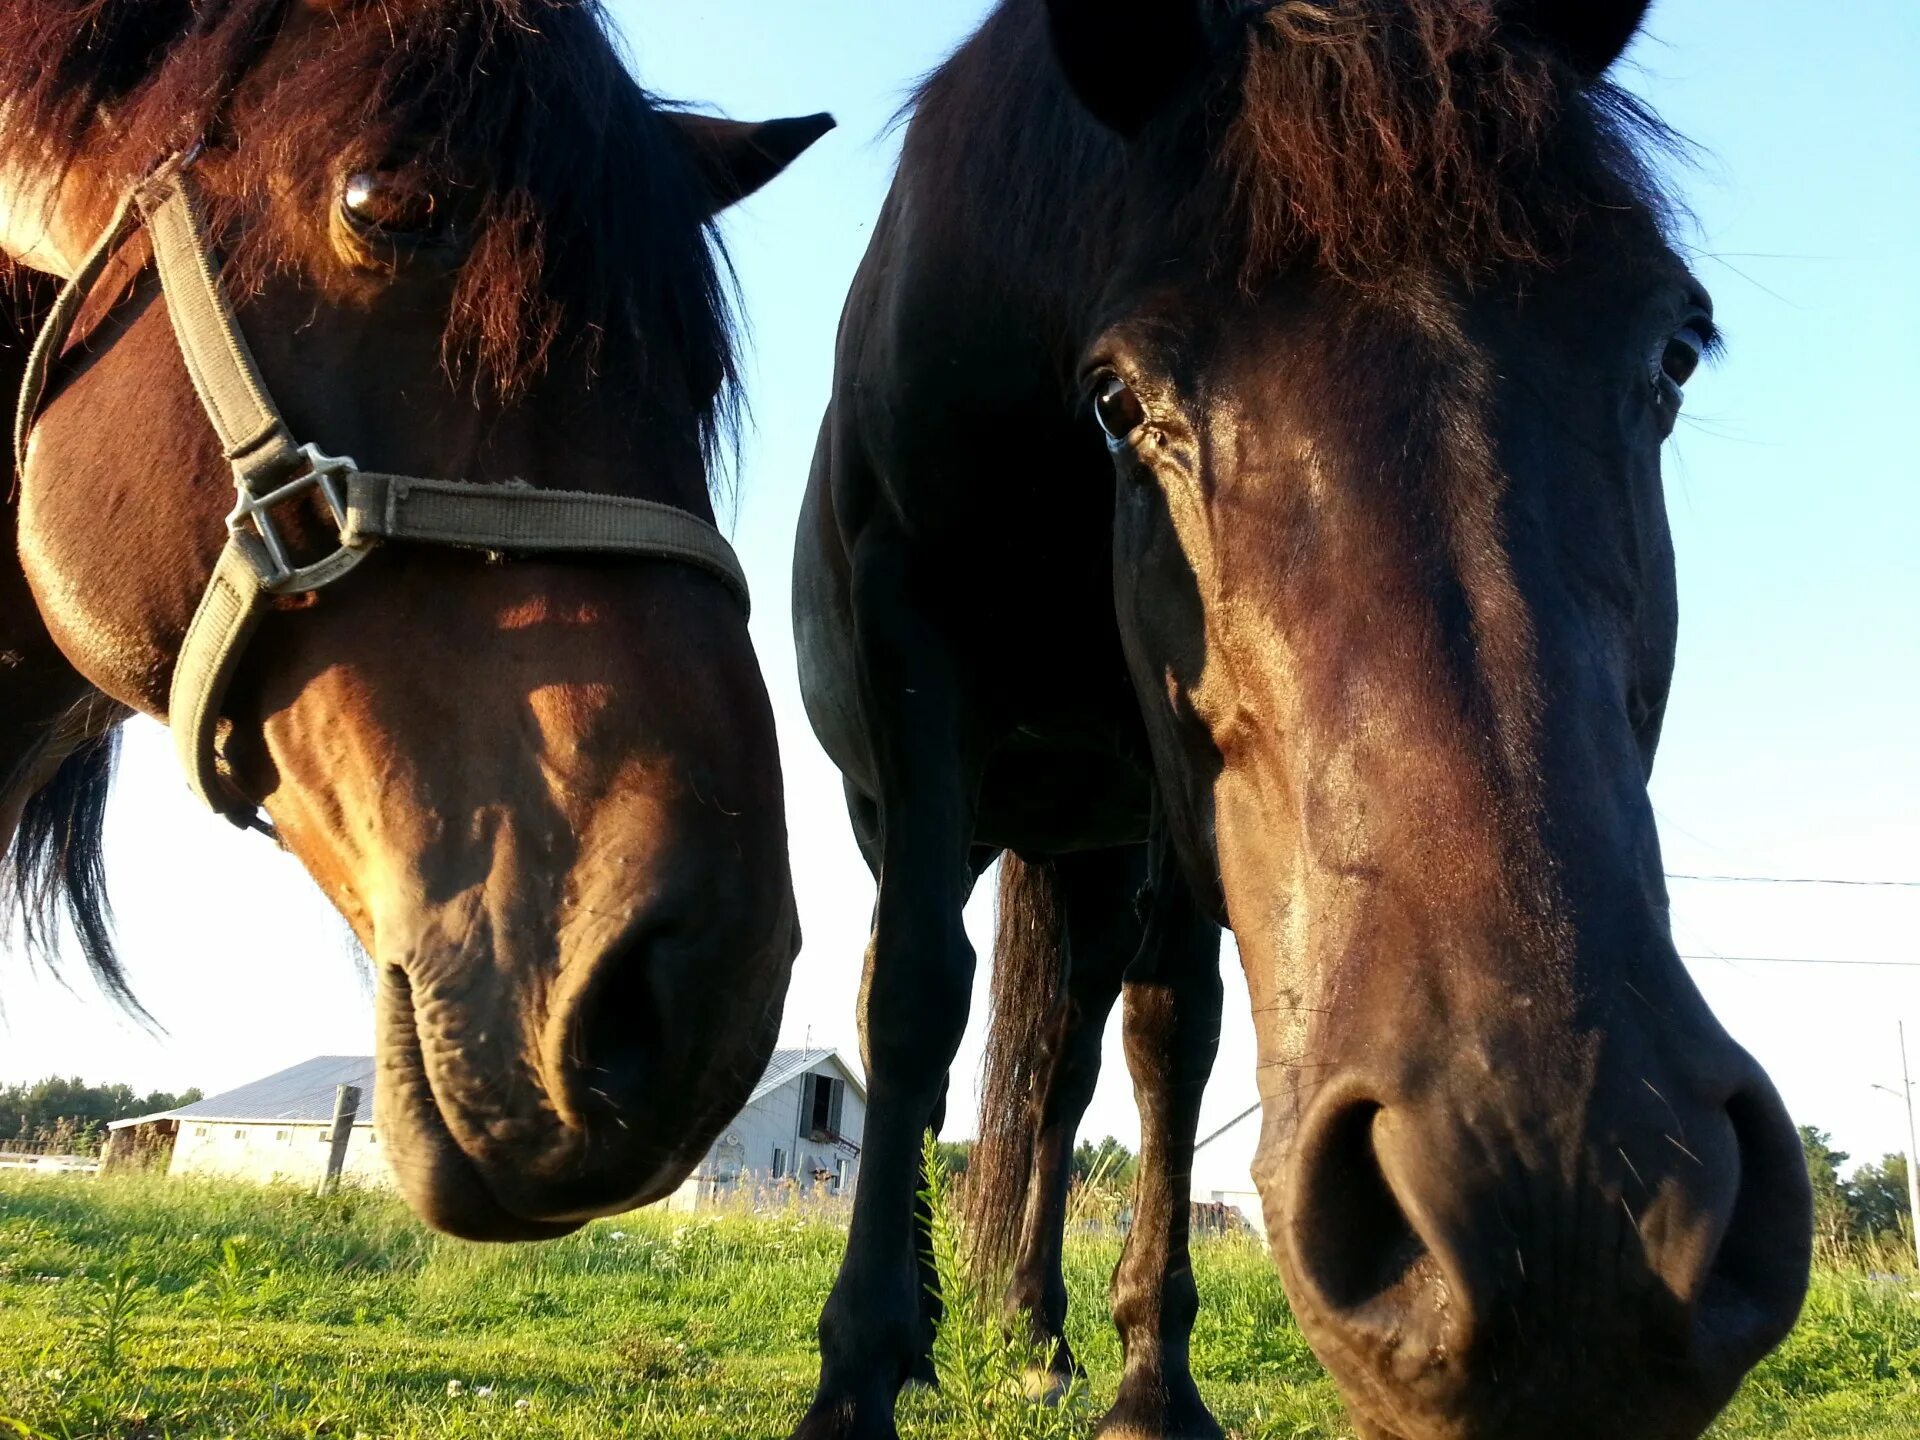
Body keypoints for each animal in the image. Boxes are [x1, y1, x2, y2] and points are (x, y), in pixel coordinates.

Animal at [794, 2, 1812, 1440]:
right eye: (1117, 397)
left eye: (1674, 348)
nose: (1562, 1197)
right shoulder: (912, 642)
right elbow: (914, 1000)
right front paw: (861, 1366)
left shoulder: (1163, 774)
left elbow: (1171, 1036)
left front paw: (1150, 1380)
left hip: (1096, 848)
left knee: (1061, 1072)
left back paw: (1040, 1331)